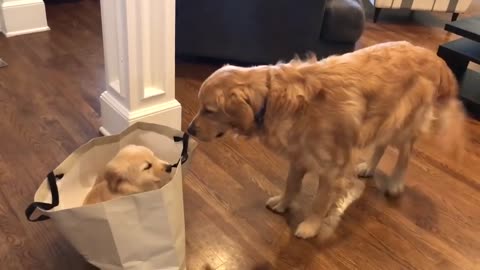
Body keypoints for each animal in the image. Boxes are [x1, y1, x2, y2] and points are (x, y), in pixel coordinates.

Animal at [187, 41, 464, 239]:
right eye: (200, 106)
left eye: (209, 110)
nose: (189, 130)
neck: (276, 98)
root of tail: (433, 56)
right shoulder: (299, 154)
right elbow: (291, 185)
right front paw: (283, 203)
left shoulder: (332, 167)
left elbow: (320, 202)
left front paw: (310, 227)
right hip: (384, 121)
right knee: (381, 145)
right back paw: (369, 167)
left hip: (404, 124)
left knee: (405, 155)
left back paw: (395, 183)